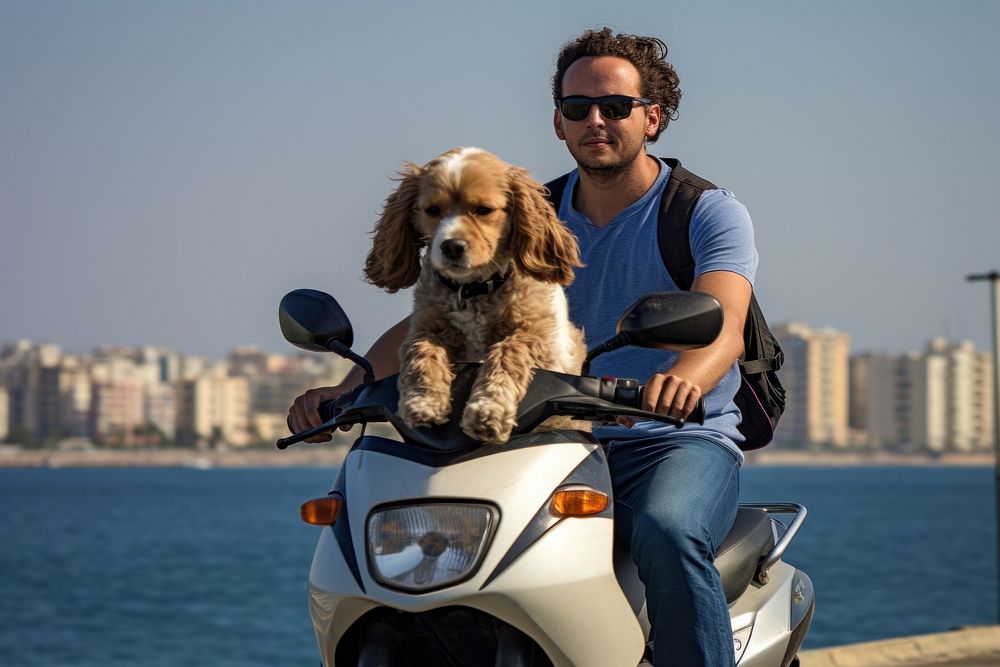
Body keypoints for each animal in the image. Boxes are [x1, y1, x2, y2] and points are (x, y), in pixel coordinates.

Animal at [366, 149, 584, 446]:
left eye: (483, 210)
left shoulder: (544, 343)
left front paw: (488, 410)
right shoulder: (424, 329)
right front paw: (423, 401)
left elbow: (508, 351)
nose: (452, 246)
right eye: (432, 210)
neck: (473, 289)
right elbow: (421, 351)